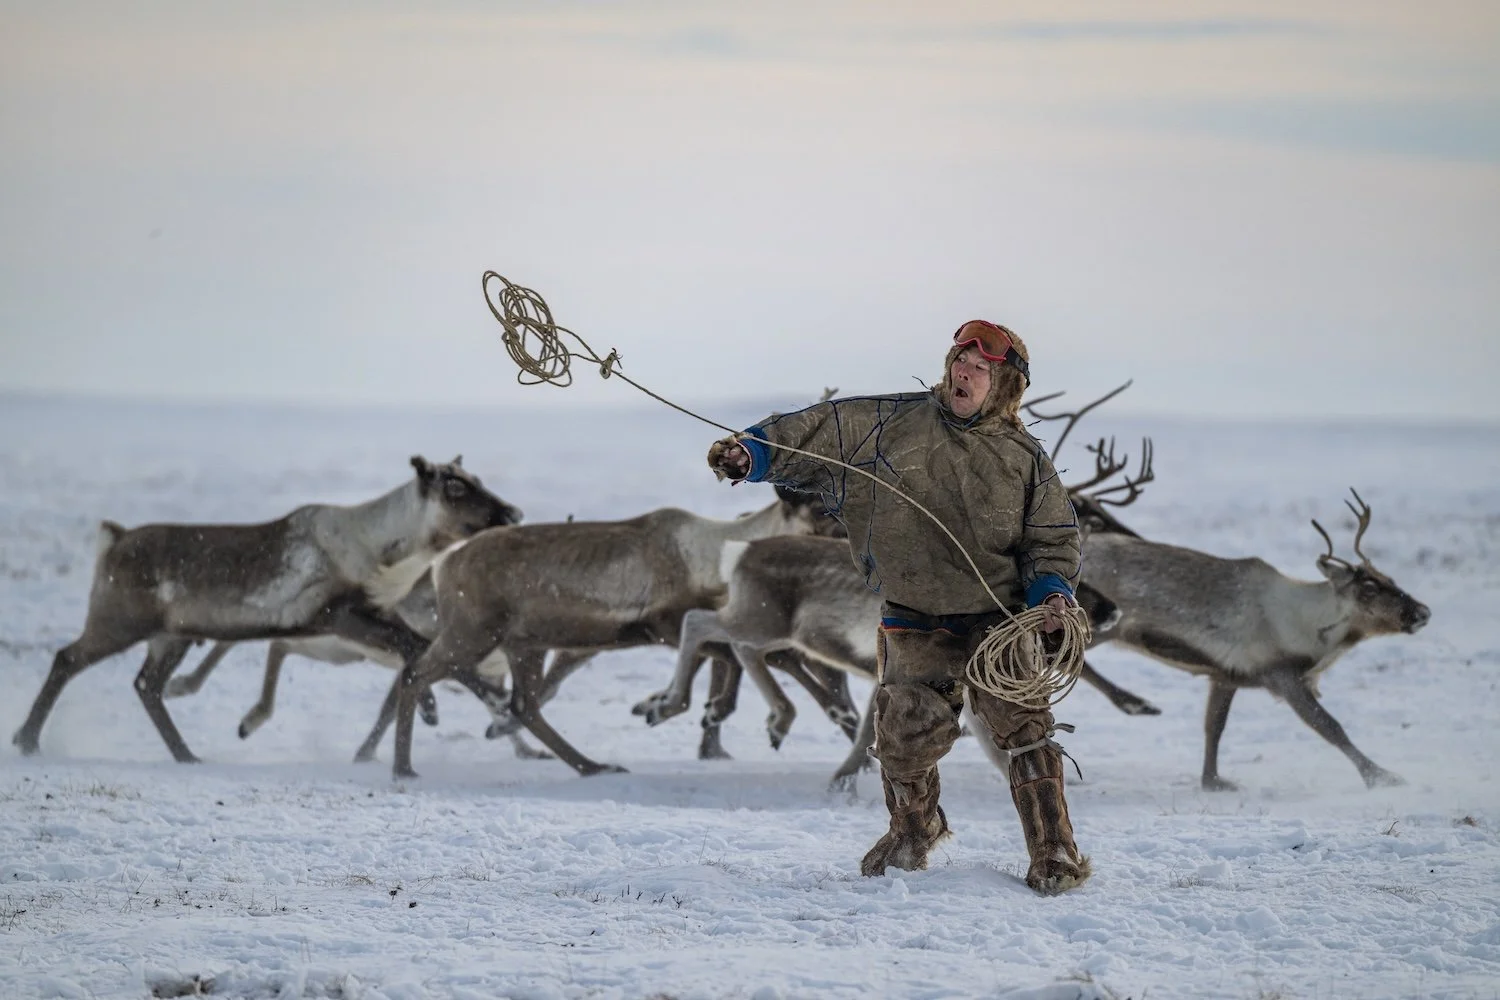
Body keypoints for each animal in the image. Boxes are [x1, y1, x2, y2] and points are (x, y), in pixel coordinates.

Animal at [11, 456, 523, 763]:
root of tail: (113, 539)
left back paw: (186, 754)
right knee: (68, 659)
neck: (387, 555)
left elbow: (421, 652)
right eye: (454, 487)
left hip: (171, 635)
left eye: (477, 480)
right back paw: (27, 739)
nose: (514, 513)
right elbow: (418, 650)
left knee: (146, 686)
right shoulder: (338, 616)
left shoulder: (377, 616)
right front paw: (471, 708)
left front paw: (486, 709)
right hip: (119, 620)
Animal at [387, 485, 840, 778]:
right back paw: (404, 768)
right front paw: (662, 706)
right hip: (474, 632)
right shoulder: (665, 624)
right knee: (416, 673)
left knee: (524, 705)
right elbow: (747, 657)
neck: (715, 556)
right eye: (819, 509)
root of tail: (442, 564)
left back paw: (592, 766)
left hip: (524, 643)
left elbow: (744, 660)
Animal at [1081, 490, 1430, 790]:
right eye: (1368, 589)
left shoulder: (1226, 676)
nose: (1422, 612)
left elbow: (1214, 728)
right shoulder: (1282, 676)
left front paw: (1213, 781)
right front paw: (1381, 777)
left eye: (1390, 579)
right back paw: (1136, 702)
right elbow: (1330, 727)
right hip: (1099, 628)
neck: (1313, 631)